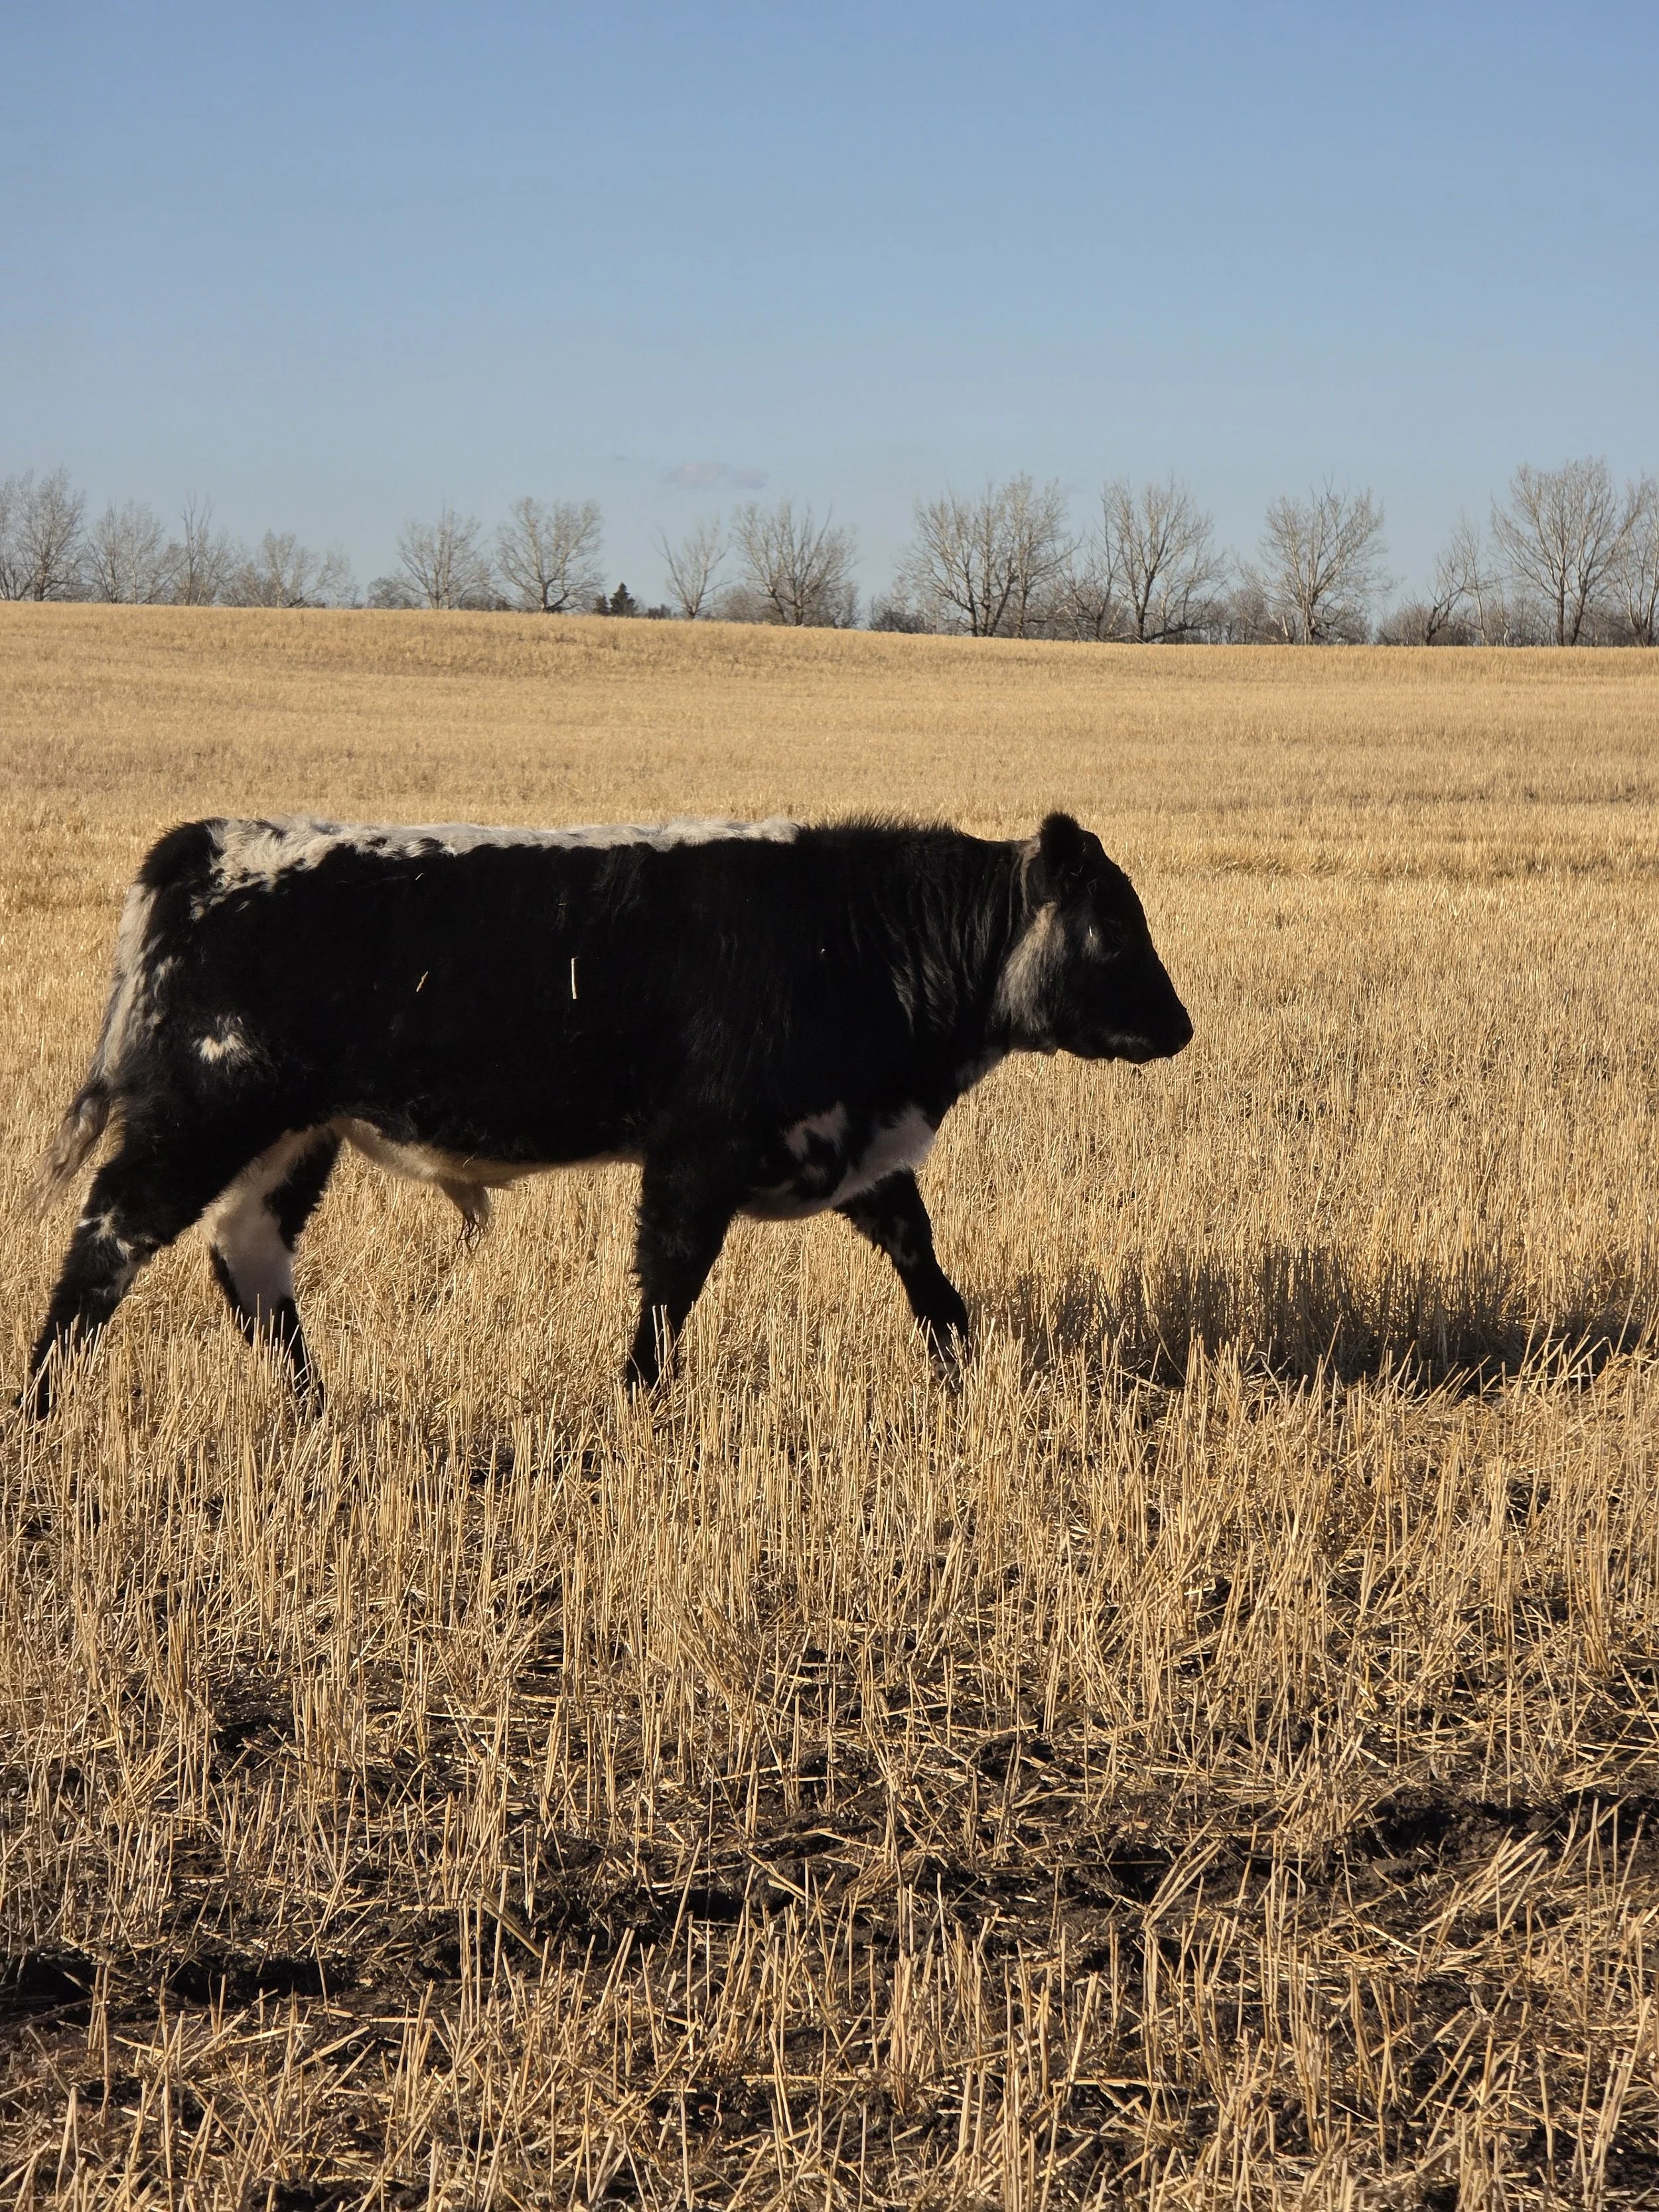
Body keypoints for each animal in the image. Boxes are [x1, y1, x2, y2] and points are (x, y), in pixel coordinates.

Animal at [24, 810, 1191, 1411]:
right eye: (1114, 926)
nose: (1180, 1026)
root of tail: (208, 843)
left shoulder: (847, 1149)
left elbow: (927, 1267)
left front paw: (964, 1376)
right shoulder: (698, 1154)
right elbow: (669, 1289)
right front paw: (634, 1406)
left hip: (287, 1137)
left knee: (249, 1258)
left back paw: (318, 1410)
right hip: (205, 1113)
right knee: (109, 1240)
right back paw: (41, 1404)